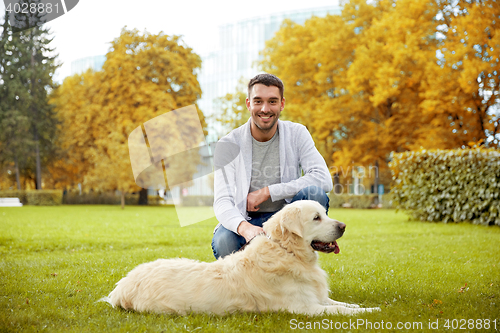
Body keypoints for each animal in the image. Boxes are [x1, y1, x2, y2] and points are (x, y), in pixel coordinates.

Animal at [101, 200, 378, 314]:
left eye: (325, 213)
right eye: (316, 218)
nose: (343, 226)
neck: (287, 252)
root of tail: (122, 286)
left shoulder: (316, 298)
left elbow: (341, 304)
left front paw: (365, 306)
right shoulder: (304, 308)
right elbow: (342, 311)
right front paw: (372, 312)